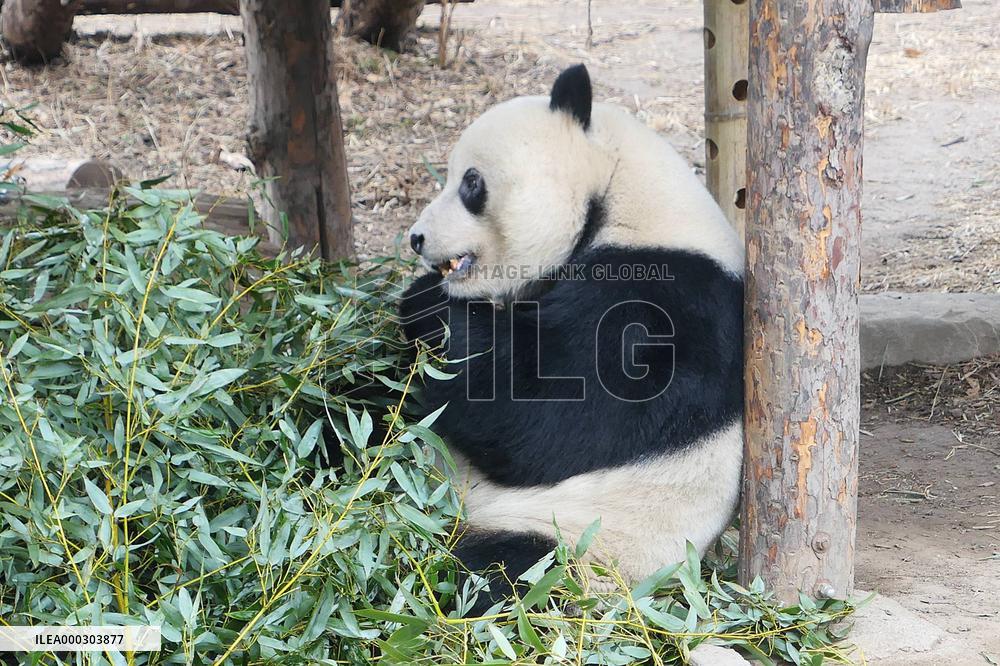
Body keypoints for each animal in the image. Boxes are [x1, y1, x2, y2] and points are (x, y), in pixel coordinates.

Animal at [398, 64, 744, 612]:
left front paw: (429, 306)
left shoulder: (664, 303)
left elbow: (547, 415)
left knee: (494, 574)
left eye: (471, 182)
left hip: (581, 546)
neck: (619, 190)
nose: (416, 238)